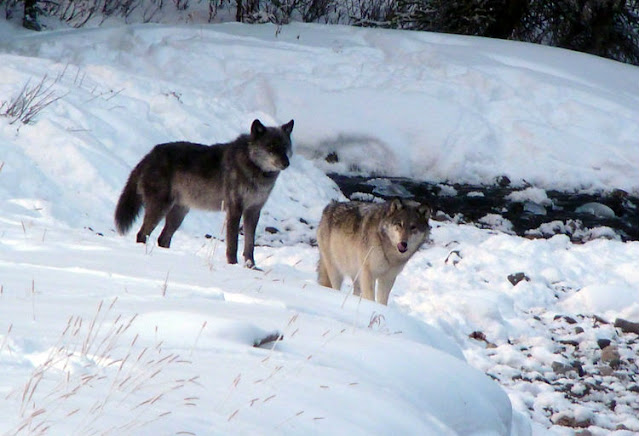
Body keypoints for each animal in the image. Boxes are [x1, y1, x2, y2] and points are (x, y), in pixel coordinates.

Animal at [115, 119, 296, 270]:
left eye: (285, 147)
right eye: (270, 147)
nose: (287, 163)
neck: (254, 168)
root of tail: (149, 155)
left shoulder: (253, 211)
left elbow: (249, 245)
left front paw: (251, 267)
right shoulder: (235, 210)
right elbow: (233, 245)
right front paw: (233, 265)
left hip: (179, 213)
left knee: (163, 239)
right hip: (159, 209)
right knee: (142, 234)